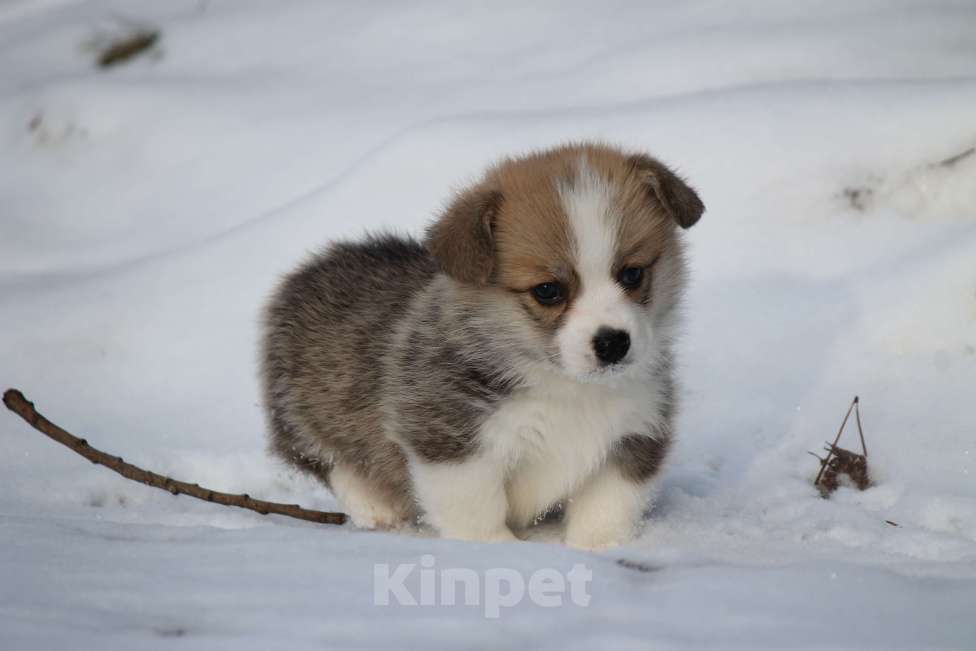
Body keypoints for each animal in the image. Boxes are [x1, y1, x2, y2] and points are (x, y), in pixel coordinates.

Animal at [260, 143, 700, 552]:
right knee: (327, 458)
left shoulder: (635, 434)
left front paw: (597, 549)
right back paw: (378, 507)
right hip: (303, 412)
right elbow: (475, 508)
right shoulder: (448, 439)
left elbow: (608, 507)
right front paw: (495, 551)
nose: (612, 343)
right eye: (547, 291)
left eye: (632, 274)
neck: (563, 385)